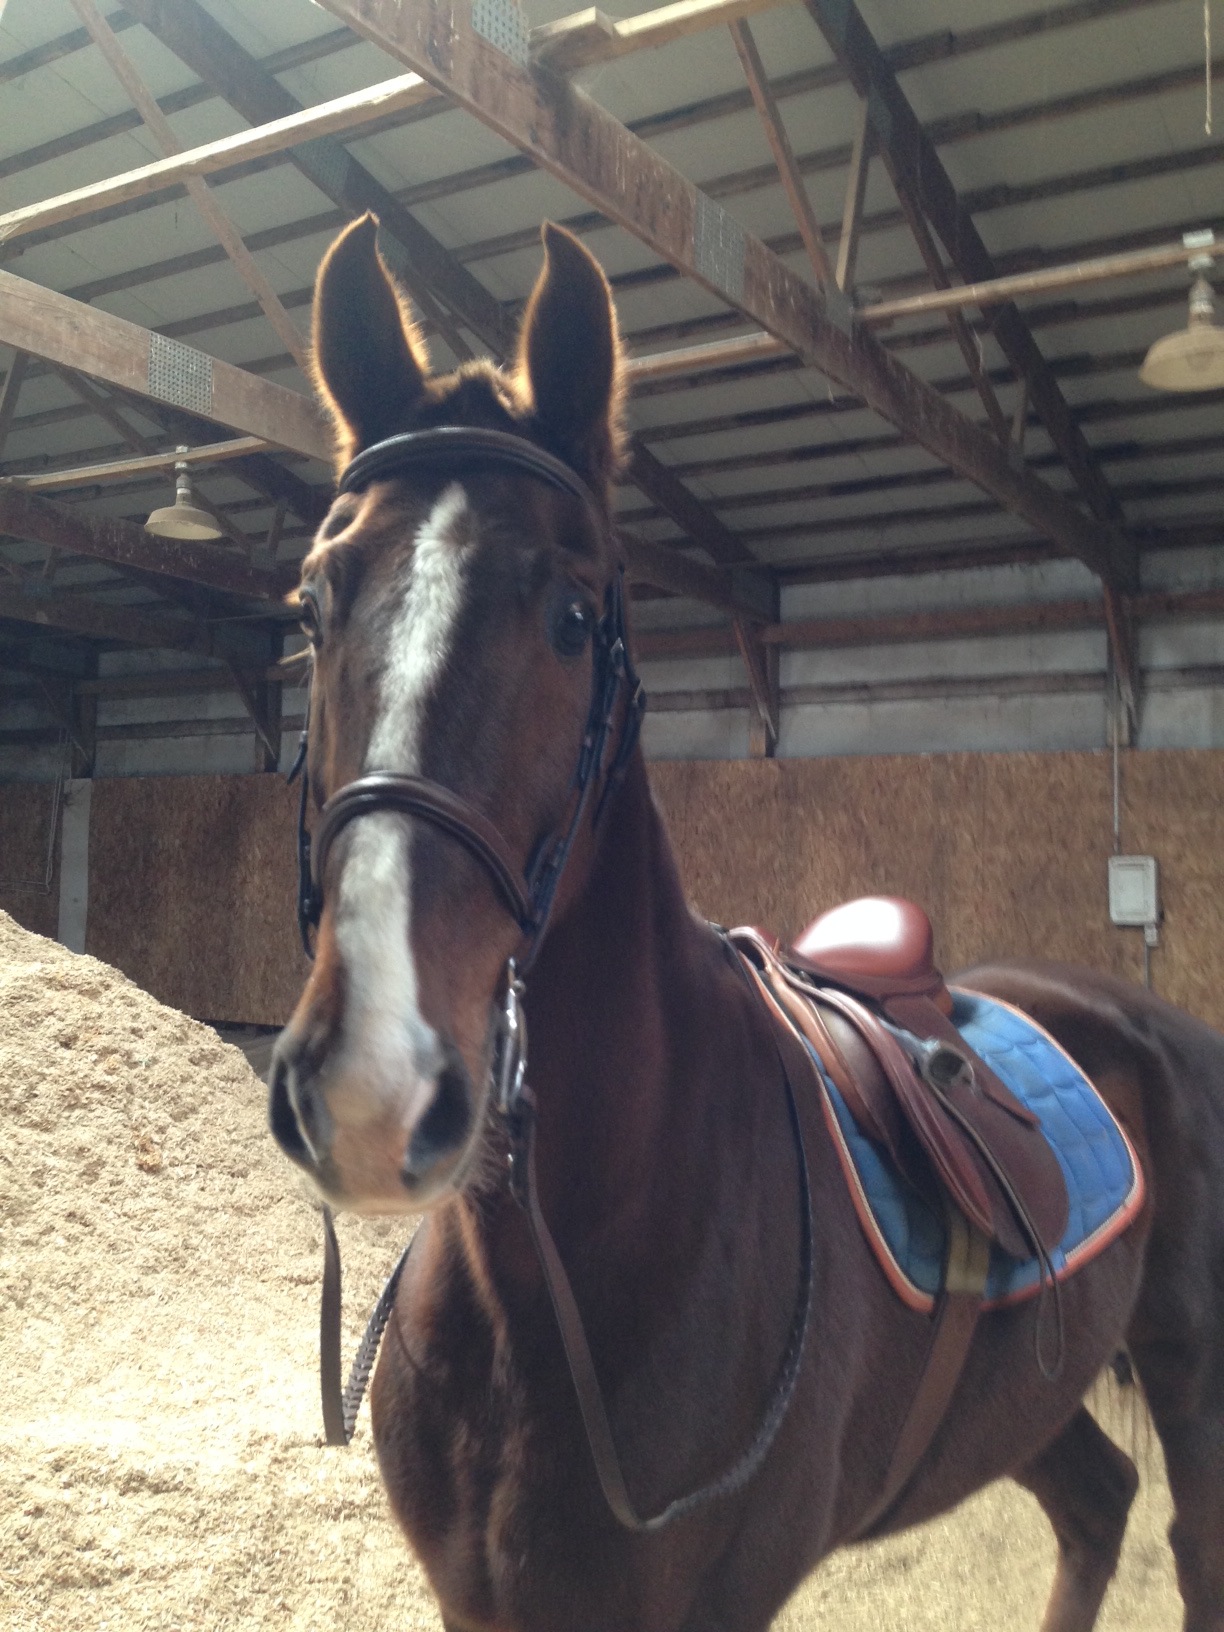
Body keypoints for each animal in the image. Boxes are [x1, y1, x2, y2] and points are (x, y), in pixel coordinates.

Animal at [267, 217, 1224, 1632]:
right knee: (1096, 1500)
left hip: (1185, 1359)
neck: (567, 1269)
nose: (374, 1093)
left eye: (574, 616)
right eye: (313, 604)